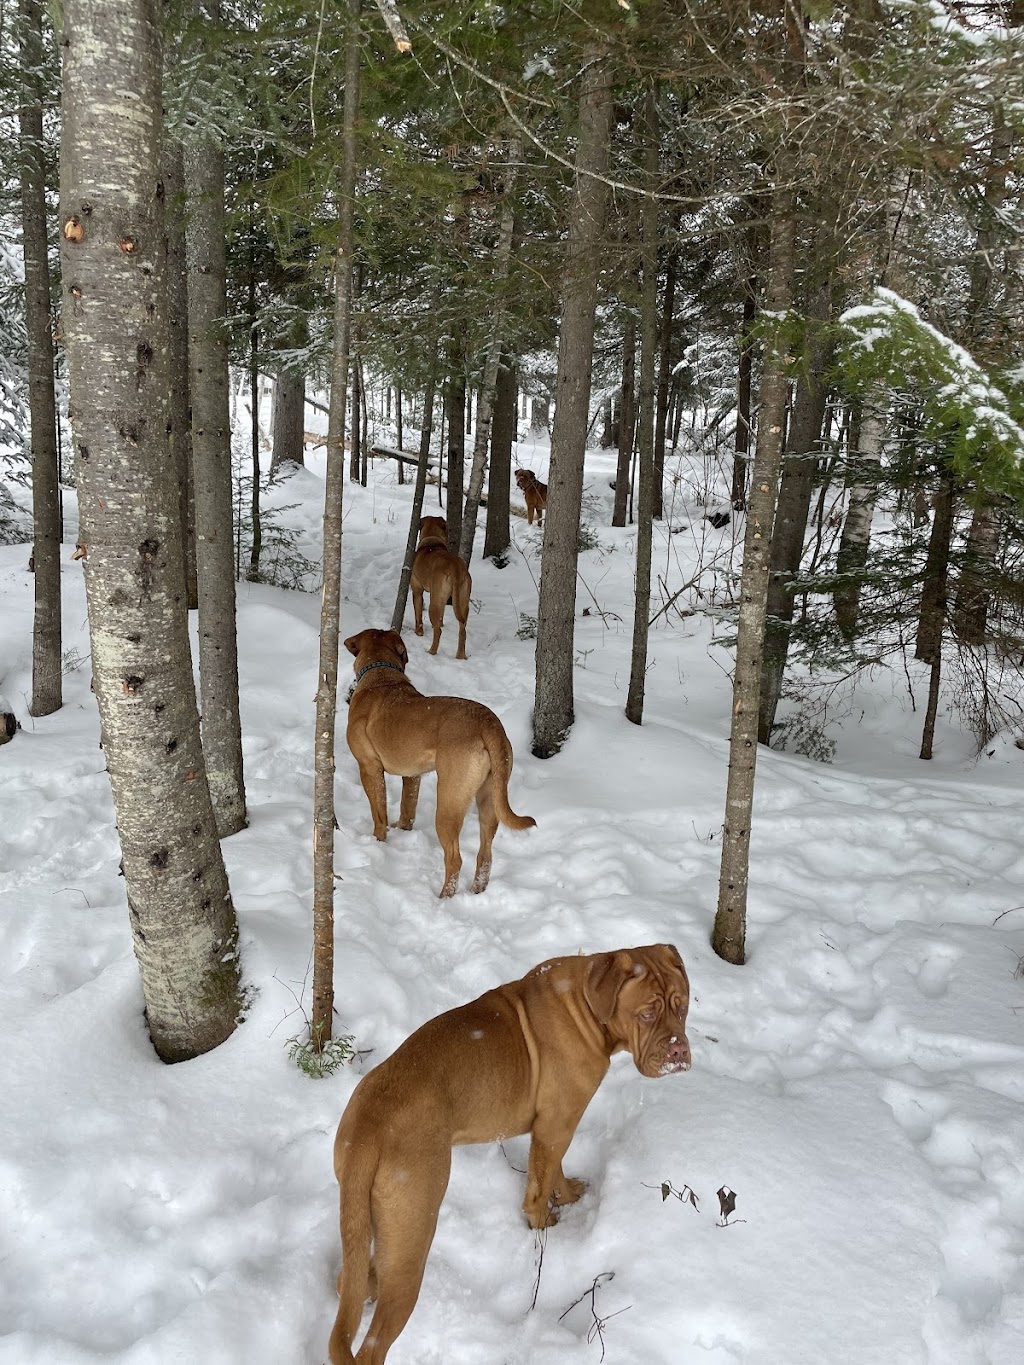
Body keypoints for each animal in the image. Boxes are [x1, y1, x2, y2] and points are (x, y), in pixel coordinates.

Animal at [333, 944, 693, 1359]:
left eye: (682, 1007)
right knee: (373, 1343)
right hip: (412, 1234)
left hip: (369, 1223)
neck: (587, 1004)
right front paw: (546, 1222)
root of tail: (369, 1129)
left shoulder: (555, 1128)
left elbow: (555, 1170)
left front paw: (567, 1195)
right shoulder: (557, 1124)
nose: (679, 1050)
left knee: (351, 1281)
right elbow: (541, 1182)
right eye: (646, 1014)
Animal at [345, 625, 537, 895]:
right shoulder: (412, 775)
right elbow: (407, 809)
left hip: (448, 802)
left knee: (455, 858)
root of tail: (488, 723)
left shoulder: (369, 769)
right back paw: (476, 890)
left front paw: (378, 842)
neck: (380, 673)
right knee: (485, 855)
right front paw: (402, 830)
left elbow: (379, 815)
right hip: (490, 798)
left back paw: (444, 897)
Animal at [409, 513, 472, 657]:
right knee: (462, 629)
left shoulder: (417, 591)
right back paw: (460, 656)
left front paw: (418, 632)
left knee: (438, 631)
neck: (432, 542)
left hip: (434, 603)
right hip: (463, 601)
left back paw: (431, 651)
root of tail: (455, 567)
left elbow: (418, 614)